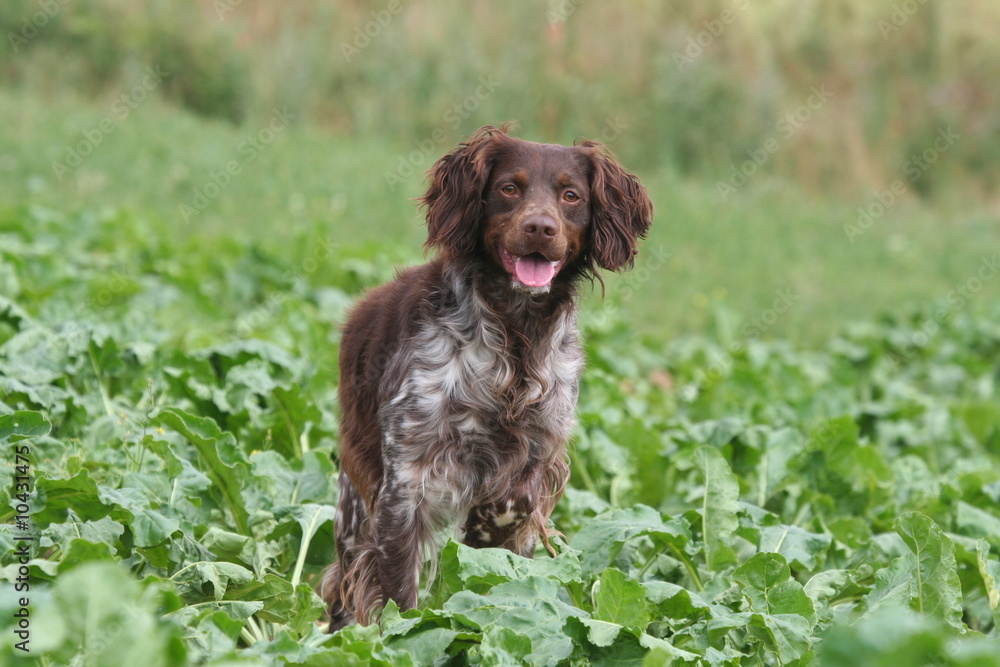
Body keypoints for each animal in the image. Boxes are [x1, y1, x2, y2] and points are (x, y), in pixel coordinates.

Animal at [322, 125, 656, 632]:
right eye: (509, 188)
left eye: (571, 196)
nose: (540, 227)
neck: (516, 335)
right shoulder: (405, 479)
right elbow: (399, 592)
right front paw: (403, 634)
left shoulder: (541, 448)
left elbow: (513, 503)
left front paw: (485, 528)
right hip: (355, 501)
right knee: (346, 576)